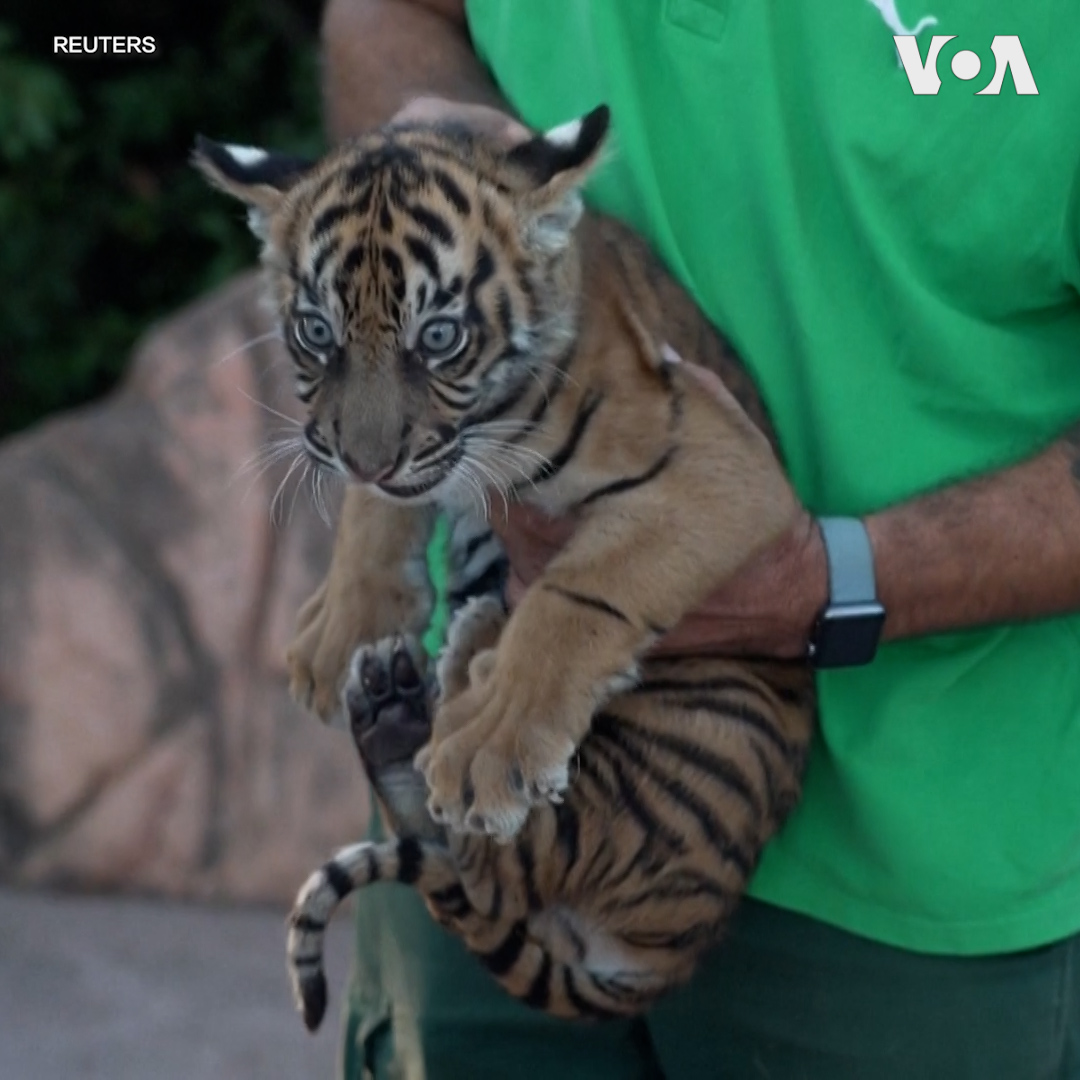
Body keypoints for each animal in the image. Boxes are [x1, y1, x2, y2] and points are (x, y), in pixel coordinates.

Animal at [194, 104, 816, 1028]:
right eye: (316, 334)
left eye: (439, 338)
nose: (365, 457)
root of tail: (679, 951)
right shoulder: (408, 462)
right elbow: (382, 507)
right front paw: (345, 626)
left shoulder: (719, 461)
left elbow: (578, 592)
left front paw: (493, 739)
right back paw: (413, 689)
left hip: (704, 735)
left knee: (498, 868)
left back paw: (456, 686)